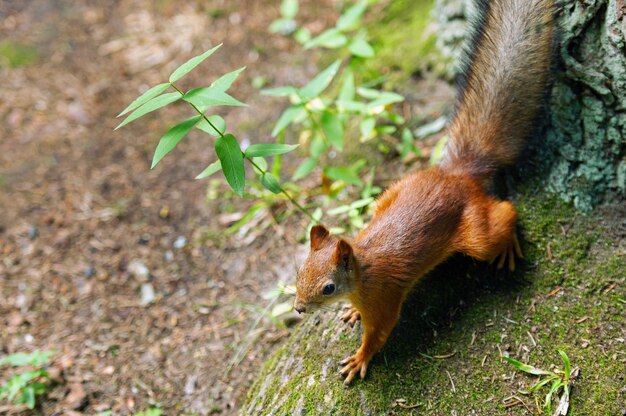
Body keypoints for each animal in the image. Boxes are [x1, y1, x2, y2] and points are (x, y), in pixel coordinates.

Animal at [292, 0, 552, 386]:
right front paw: (352, 313)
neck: (362, 270)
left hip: (477, 234)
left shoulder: (384, 298)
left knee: (505, 213)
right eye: (299, 272)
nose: (298, 308)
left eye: (328, 288)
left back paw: (507, 246)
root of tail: (457, 175)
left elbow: (380, 333)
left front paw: (359, 358)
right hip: (394, 190)